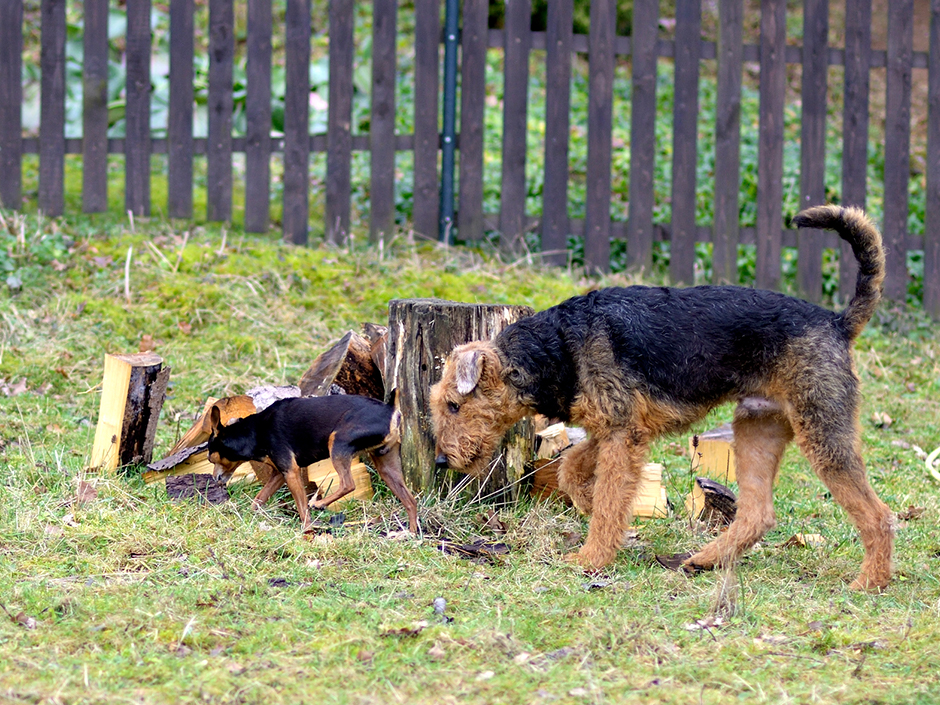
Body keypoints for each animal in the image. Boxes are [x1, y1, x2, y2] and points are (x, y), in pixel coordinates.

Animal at [211, 396, 420, 532]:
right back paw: (409, 535)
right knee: (410, 501)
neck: (256, 431)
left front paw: (307, 531)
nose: (215, 479)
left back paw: (319, 503)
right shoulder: (280, 474)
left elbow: (302, 507)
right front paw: (250, 515)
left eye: (212, 459)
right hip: (386, 465)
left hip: (337, 442)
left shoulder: (290, 471)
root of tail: (390, 409)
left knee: (348, 484)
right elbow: (259, 499)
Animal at [430, 206, 892, 592]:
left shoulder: (622, 434)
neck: (557, 348)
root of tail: (837, 321)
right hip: (757, 428)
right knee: (757, 513)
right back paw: (704, 560)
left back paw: (870, 583)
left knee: (878, 515)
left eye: (454, 404)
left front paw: (590, 558)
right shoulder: (615, 429)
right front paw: (591, 508)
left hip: (823, 433)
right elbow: (572, 469)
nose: (440, 460)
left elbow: (607, 494)